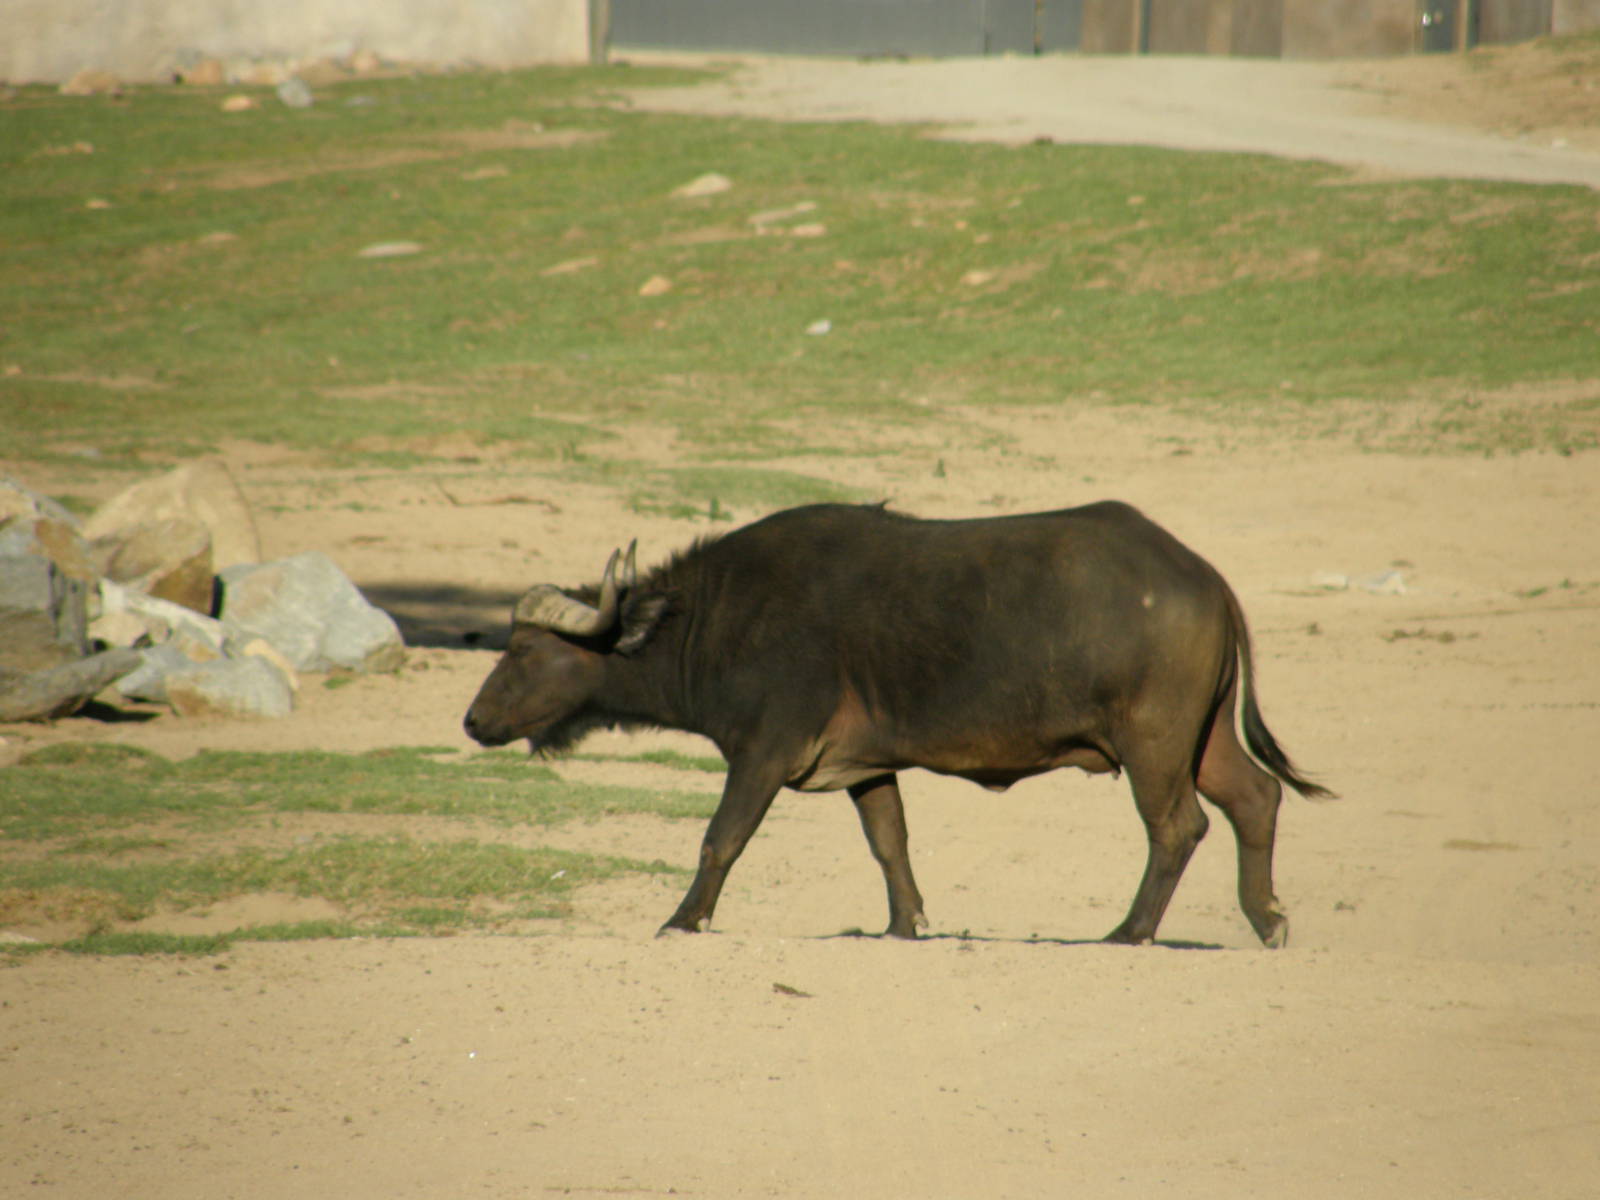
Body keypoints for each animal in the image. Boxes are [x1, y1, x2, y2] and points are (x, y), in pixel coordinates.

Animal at [464, 501, 1331, 944]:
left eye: (526, 650)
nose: (473, 720)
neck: (714, 616)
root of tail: (1204, 576)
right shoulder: (866, 765)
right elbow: (890, 843)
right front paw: (905, 924)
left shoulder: (763, 752)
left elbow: (722, 837)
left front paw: (683, 918)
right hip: (1201, 739)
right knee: (1255, 798)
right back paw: (1267, 919)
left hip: (1153, 742)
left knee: (1178, 827)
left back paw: (1130, 930)